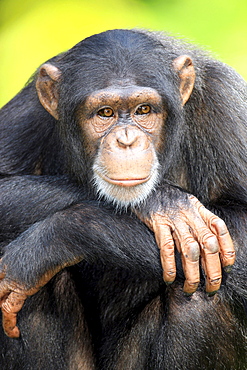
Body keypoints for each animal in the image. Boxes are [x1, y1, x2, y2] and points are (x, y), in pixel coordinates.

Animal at [0, 29, 246, 370]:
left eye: (143, 110)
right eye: (105, 113)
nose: (126, 140)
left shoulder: (227, 107)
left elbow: (241, 227)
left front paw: (42, 246)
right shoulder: (29, 109)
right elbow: (3, 188)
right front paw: (163, 203)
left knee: (198, 296)